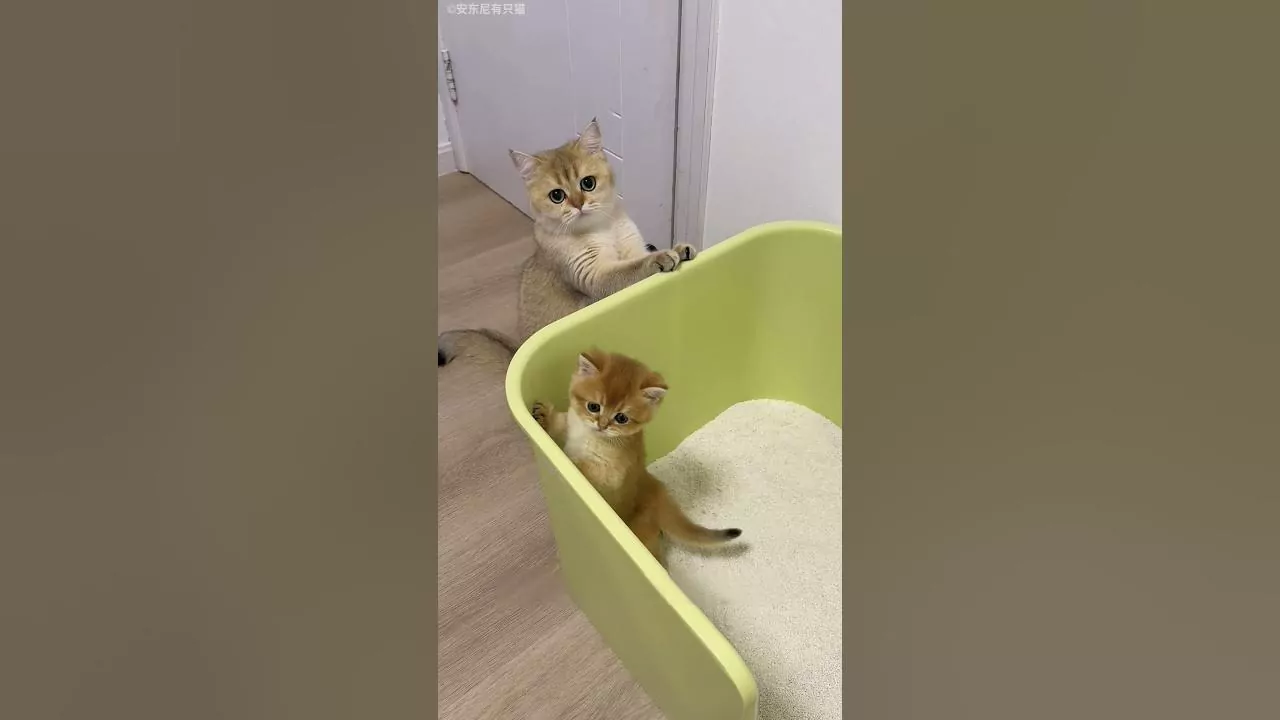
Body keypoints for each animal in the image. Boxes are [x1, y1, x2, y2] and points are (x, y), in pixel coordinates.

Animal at [438, 119, 697, 367]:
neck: (602, 229)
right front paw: (662, 257)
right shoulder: (593, 275)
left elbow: (637, 259)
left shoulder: (632, 246)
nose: (578, 204)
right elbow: (630, 270)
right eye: (557, 196)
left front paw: (680, 249)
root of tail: (515, 352)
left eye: (588, 183)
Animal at [530, 348, 741, 565]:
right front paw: (545, 415)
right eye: (593, 406)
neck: (588, 435)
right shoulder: (572, 426)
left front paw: (567, 462)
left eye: (621, 418)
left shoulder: (609, 473)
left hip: (642, 533)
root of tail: (659, 492)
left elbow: (584, 464)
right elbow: (561, 424)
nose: (602, 425)